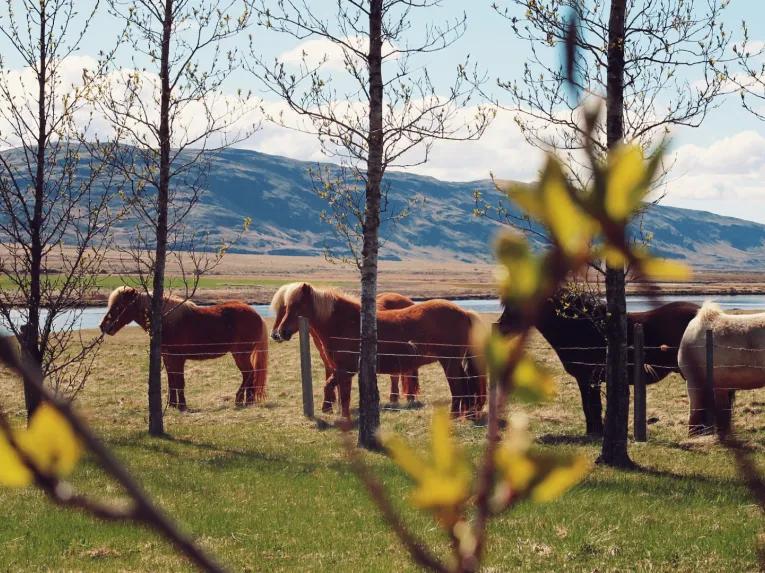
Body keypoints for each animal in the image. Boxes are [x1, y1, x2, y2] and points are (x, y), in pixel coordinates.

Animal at [99, 286, 269, 410]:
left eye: (120, 305)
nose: (103, 326)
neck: (165, 320)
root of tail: (256, 314)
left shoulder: (178, 359)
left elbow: (179, 381)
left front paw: (181, 405)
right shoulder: (167, 358)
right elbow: (172, 381)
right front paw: (172, 404)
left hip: (240, 354)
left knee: (249, 374)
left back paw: (241, 400)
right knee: (249, 375)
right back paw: (248, 401)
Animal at [270, 282, 486, 418]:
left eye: (298, 305)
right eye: (285, 306)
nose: (280, 333)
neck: (347, 323)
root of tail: (463, 312)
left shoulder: (346, 370)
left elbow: (341, 394)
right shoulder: (341, 370)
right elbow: (332, 389)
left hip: (449, 362)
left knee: (458, 388)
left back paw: (454, 417)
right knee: (465, 387)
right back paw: (466, 415)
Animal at [499, 289, 699, 436]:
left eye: (516, 305)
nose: (500, 328)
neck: (584, 326)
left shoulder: (588, 378)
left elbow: (592, 406)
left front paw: (595, 432)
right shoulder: (586, 379)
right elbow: (588, 406)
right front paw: (593, 431)